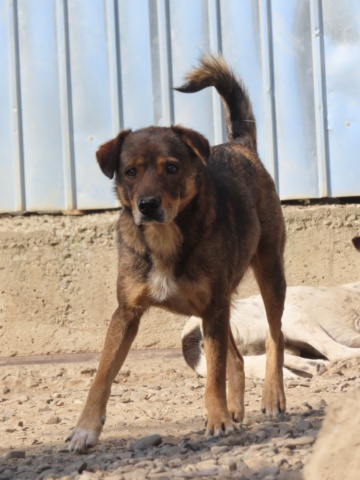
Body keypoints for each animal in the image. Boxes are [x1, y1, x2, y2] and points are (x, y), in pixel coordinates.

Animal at [67, 56, 286, 454]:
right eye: (130, 172)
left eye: (171, 167)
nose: (147, 205)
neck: (165, 237)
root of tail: (240, 145)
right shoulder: (127, 313)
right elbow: (102, 375)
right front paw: (85, 429)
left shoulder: (213, 308)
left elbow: (213, 375)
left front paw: (217, 420)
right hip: (217, 307)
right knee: (236, 358)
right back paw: (235, 409)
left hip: (269, 273)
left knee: (274, 337)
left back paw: (272, 398)